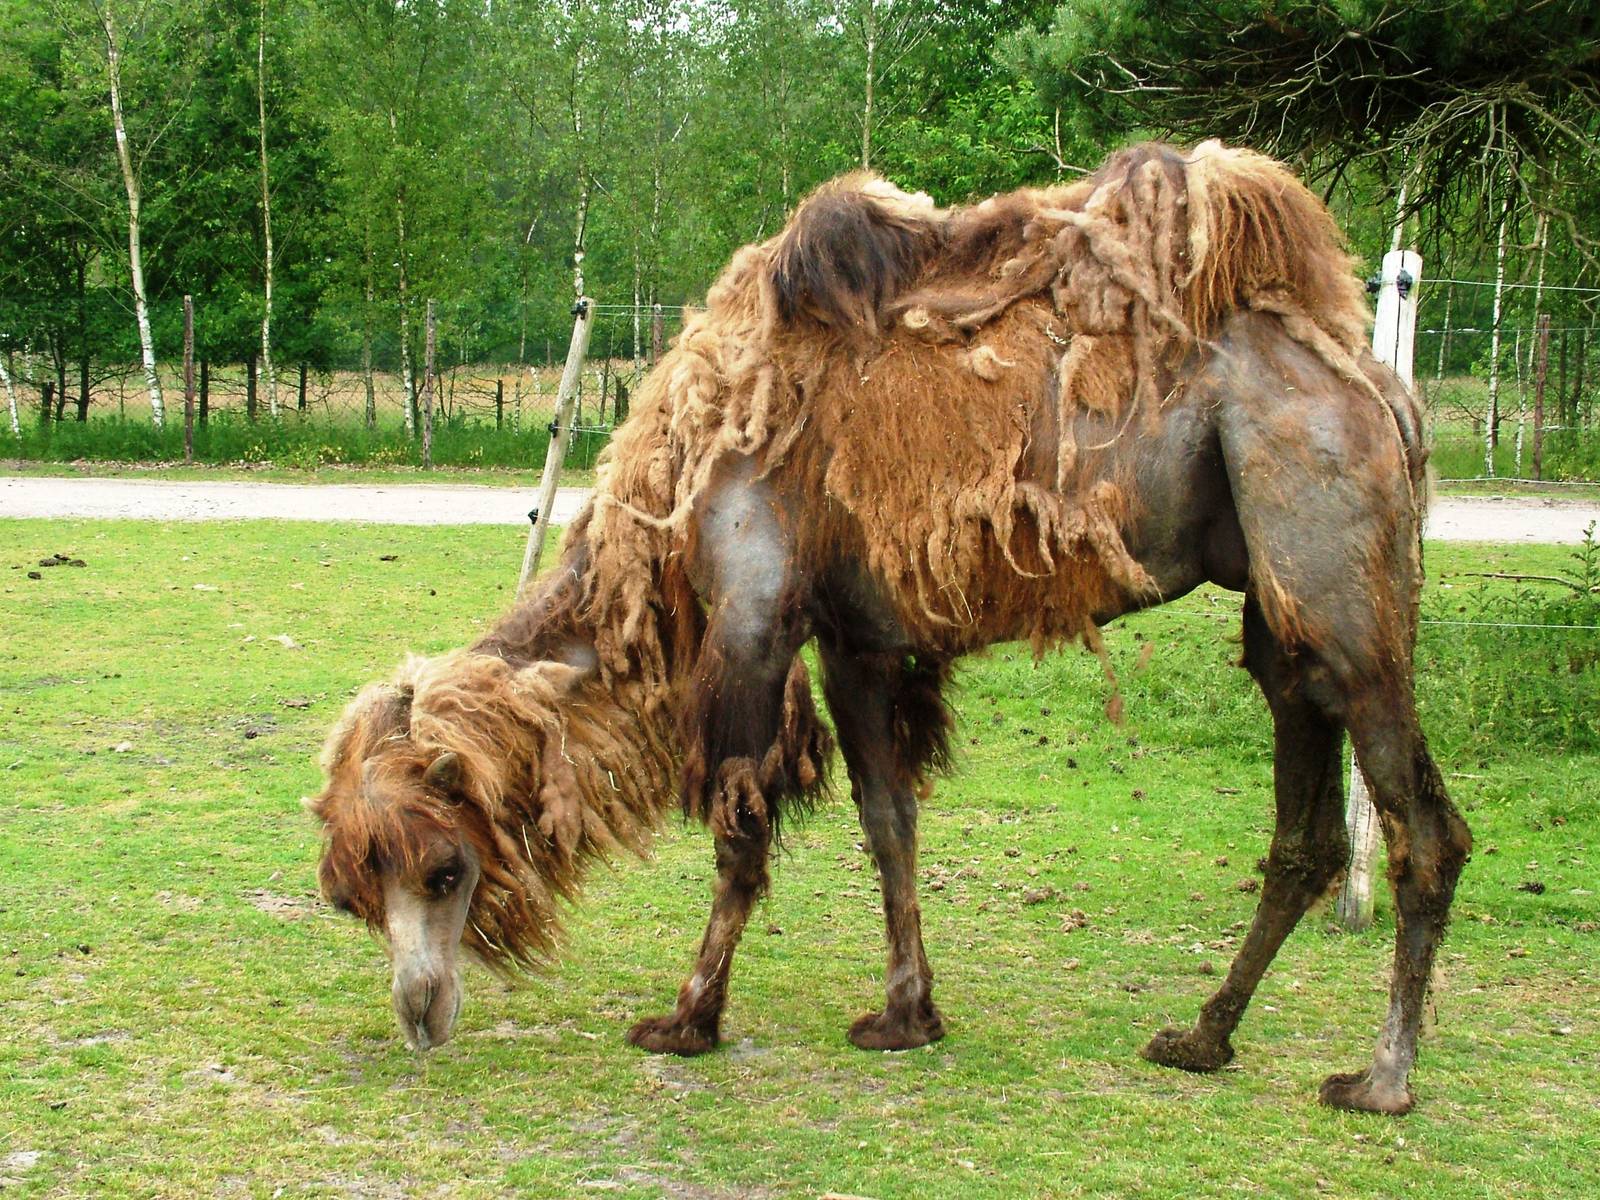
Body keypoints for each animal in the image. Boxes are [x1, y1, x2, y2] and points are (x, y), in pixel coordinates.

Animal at [310, 140, 1470, 1115]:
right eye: (352, 892)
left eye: (443, 868)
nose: (420, 1015)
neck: (668, 516)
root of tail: (1384, 391)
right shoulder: (854, 637)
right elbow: (889, 821)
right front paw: (907, 1015)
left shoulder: (754, 615)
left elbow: (740, 833)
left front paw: (687, 1019)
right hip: (1278, 608)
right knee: (1305, 831)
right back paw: (1201, 1037)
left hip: (1338, 576)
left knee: (1423, 828)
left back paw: (1381, 1081)